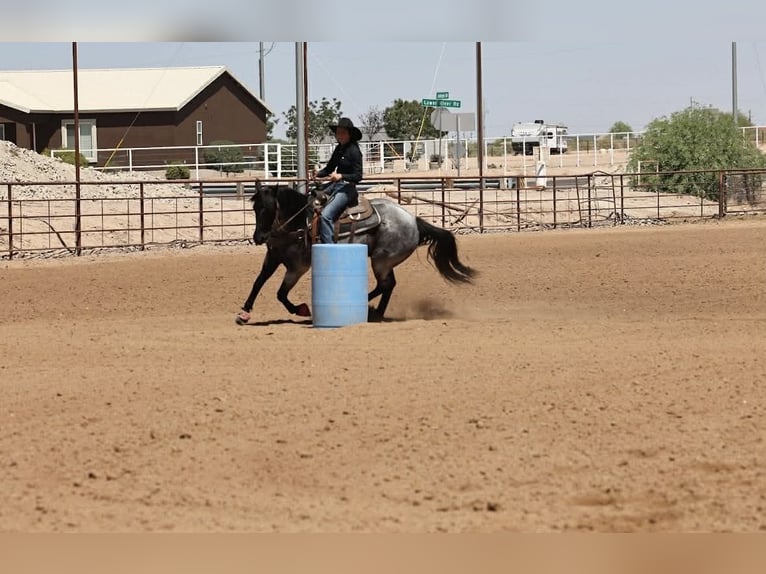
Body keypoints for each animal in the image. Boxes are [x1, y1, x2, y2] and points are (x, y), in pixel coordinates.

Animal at [235, 181, 476, 325]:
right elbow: (259, 283)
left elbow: (281, 293)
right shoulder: (273, 257)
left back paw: (368, 308)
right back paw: (376, 312)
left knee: (386, 284)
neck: (298, 223)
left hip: (381, 260)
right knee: (388, 285)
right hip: (383, 262)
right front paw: (244, 313)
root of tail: (414, 220)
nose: (258, 237)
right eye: (255, 208)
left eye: (268, 209)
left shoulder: (298, 267)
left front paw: (302, 309)